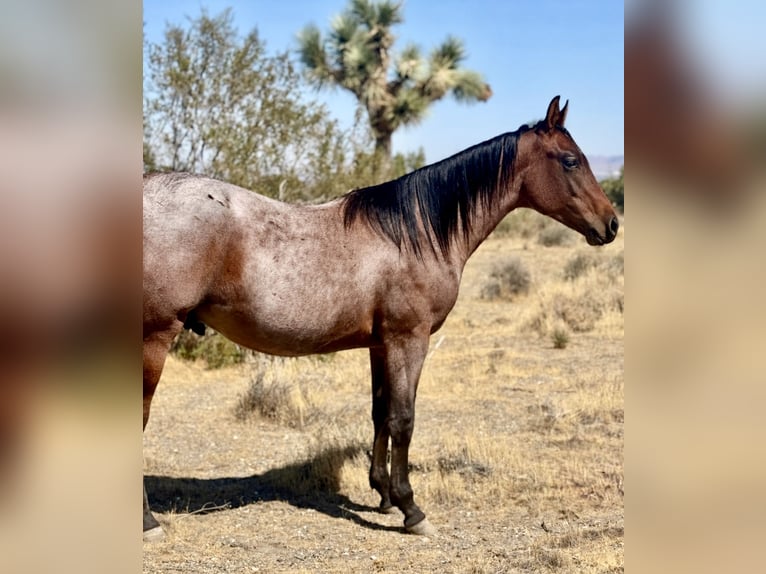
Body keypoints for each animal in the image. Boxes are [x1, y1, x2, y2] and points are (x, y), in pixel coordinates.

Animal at [143, 96, 619, 540]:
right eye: (571, 160)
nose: (611, 224)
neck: (413, 234)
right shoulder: (409, 340)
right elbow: (403, 419)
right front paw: (411, 510)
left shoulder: (380, 344)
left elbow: (380, 413)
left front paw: (384, 495)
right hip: (154, 338)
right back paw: (148, 523)